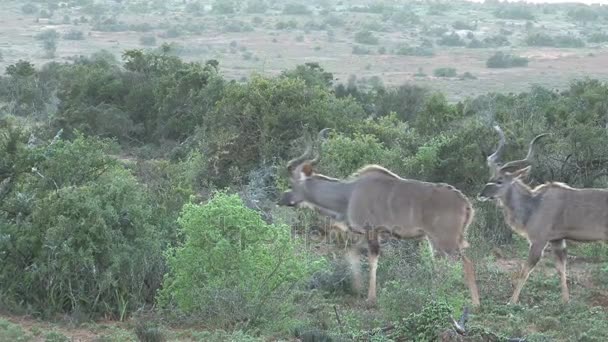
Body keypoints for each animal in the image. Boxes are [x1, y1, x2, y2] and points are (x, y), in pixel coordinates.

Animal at [276, 130, 480, 306]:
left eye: (292, 183)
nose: (281, 199)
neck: (348, 194)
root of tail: (465, 203)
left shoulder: (372, 232)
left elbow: (372, 261)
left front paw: (371, 298)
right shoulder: (368, 234)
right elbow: (351, 252)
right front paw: (357, 288)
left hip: (445, 241)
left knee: (466, 263)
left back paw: (474, 303)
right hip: (437, 241)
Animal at [478, 126, 608, 304]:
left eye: (500, 180)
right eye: (490, 177)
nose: (481, 194)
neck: (534, 204)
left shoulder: (538, 241)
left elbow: (525, 270)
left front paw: (512, 301)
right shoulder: (557, 241)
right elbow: (561, 269)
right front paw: (565, 301)